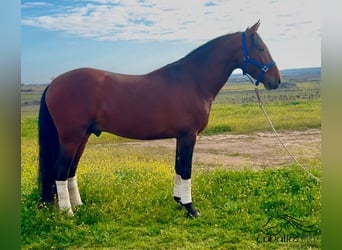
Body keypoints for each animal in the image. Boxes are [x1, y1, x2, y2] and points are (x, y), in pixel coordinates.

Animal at [37, 21, 280, 217]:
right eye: (260, 48)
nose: (276, 80)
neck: (193, 80)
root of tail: (53, 83)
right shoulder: (189, 136)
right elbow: (186, 170)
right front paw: (191, 209)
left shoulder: (181, 137)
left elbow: (178, 167)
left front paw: (179, 202)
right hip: (71, 137)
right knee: (60, 170)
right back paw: (68, 213)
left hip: (83, 136)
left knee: (71, 170)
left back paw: (78, 206)